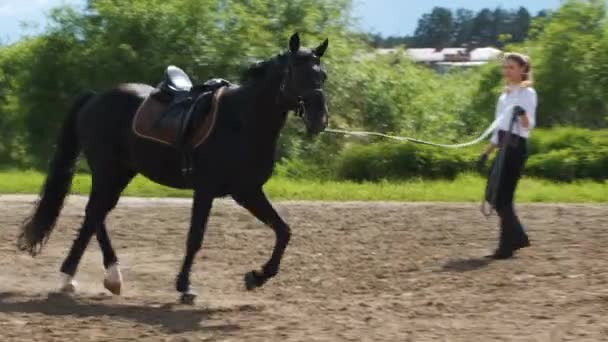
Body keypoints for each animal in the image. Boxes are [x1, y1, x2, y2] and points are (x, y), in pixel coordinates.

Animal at [17, 33, 328, 304]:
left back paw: (90, 278)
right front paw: (185, 287)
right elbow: (195, 238)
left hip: (121, 172)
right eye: (297, 73)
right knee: (95, 213)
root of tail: (95, 97)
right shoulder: (206, 190)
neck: (242, 120)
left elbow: (283, 230)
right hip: (108, 170)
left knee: (96, 215)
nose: (319, 120)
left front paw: (257, 277)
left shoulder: (247, 191)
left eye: (322, 75)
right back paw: (88, 277)